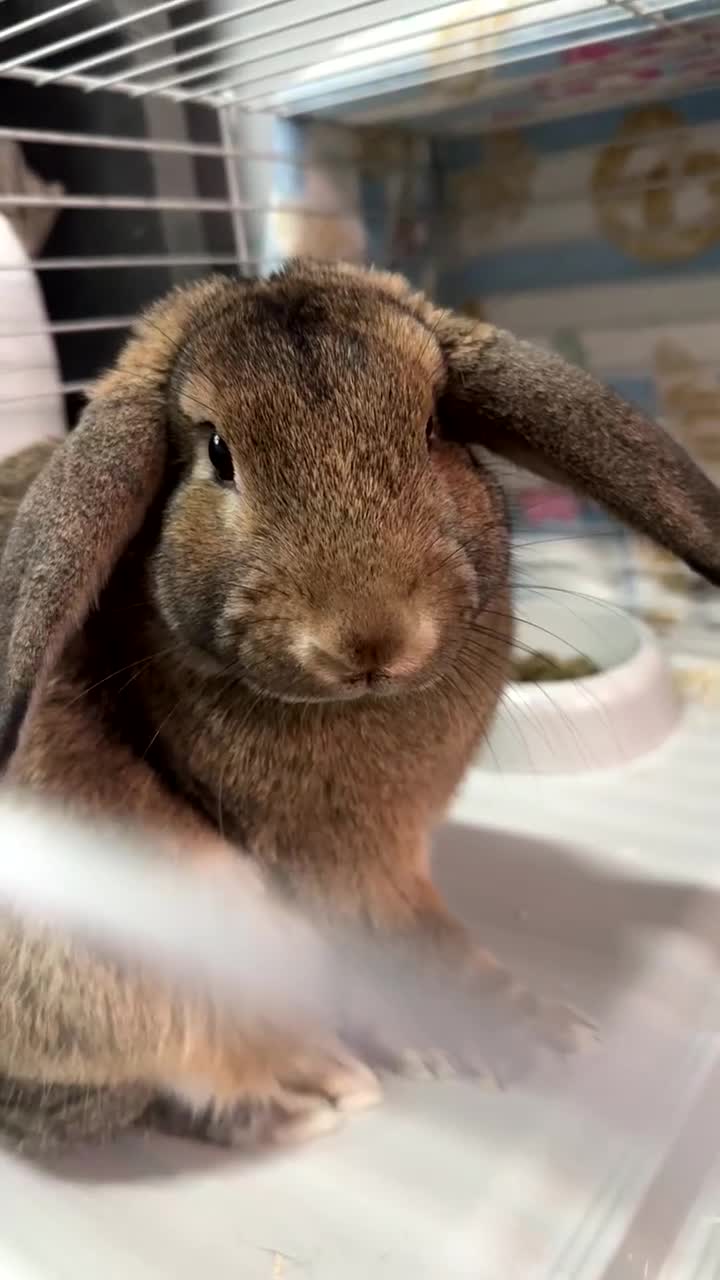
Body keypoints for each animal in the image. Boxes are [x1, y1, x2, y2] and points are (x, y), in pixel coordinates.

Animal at [1, 258, 719, 1153]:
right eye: (217, 452)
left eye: (434, 426)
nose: (370, 639)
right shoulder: (348, 869)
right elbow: (419, 947)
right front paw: (535, 1040)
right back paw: (309, 1091)